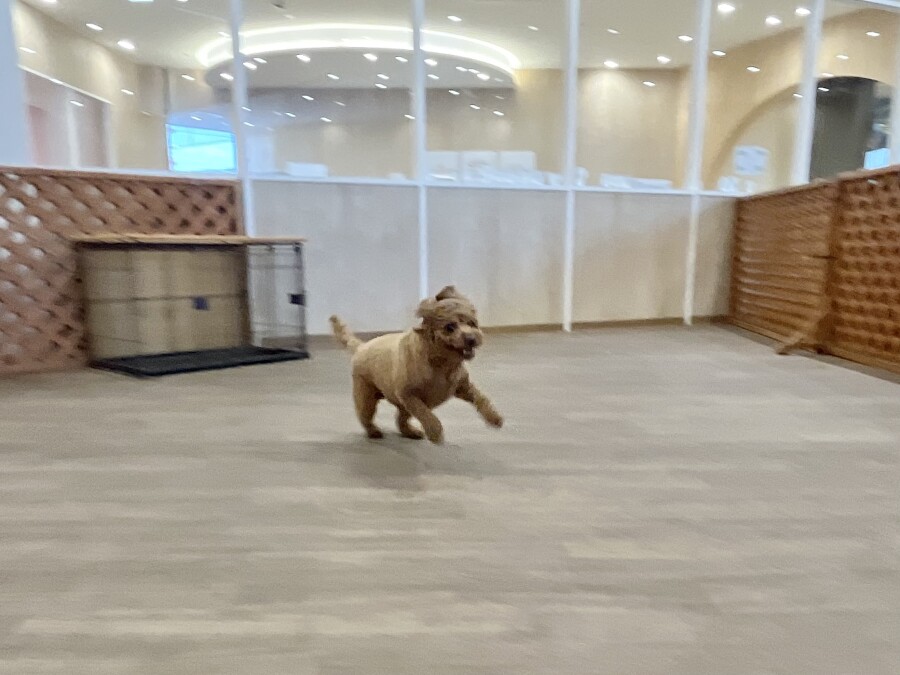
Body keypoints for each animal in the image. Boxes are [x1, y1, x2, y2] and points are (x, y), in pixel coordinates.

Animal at [330, 286, 503, 444]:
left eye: (472, 323)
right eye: (449, 327)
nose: (471, 339)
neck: (441, 363)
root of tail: (361, 347)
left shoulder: (463, 387)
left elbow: (481, 398)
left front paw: (494, 417)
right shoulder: (409, 395)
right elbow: (426, 414)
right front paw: (435, 432)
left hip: (402, 406)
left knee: (400, 420)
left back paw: (410, 432)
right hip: (367, 396)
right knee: (365, 416)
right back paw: (374, 431)